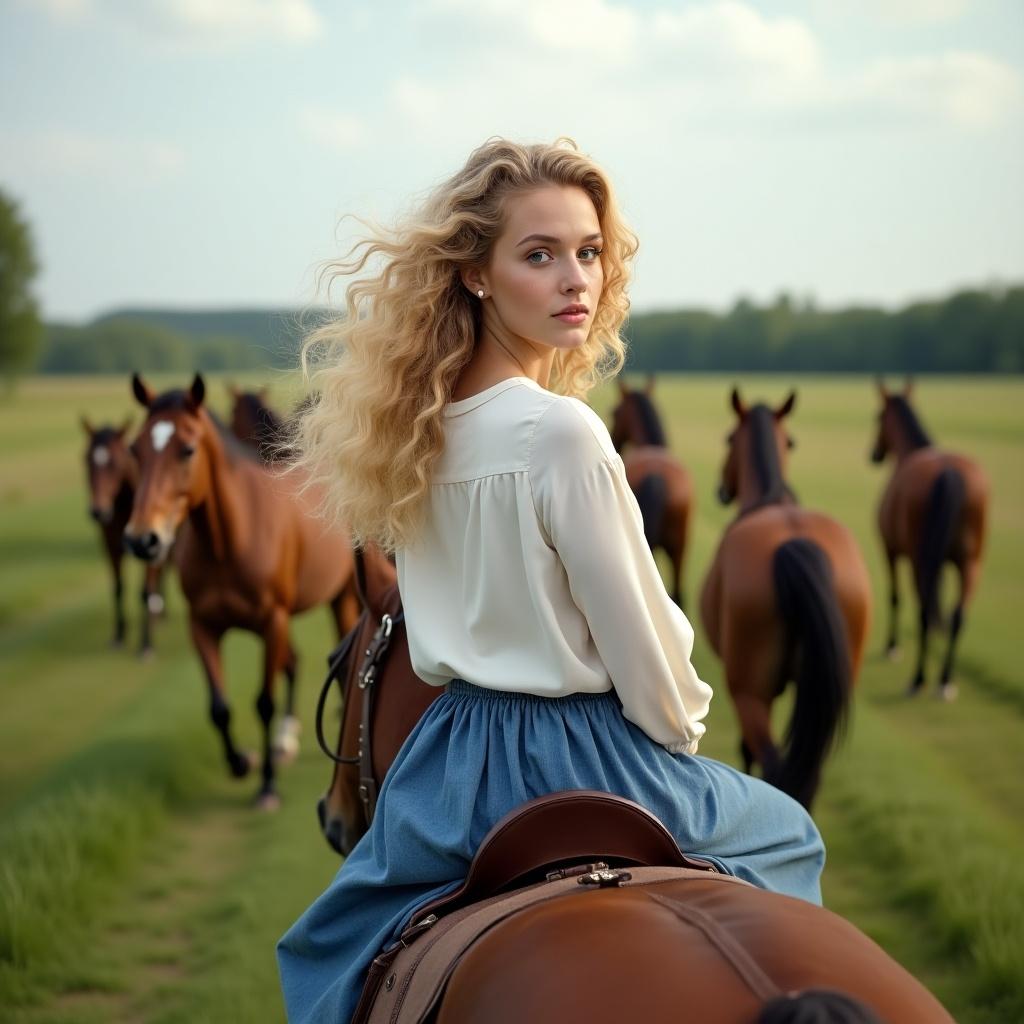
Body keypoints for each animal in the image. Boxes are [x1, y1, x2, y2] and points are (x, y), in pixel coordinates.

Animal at [79, 415, 163, 655]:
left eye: (115, 463)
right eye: (86, 460)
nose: (98, 511)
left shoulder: (151, 548)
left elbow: (145, 592)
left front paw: (146, 643)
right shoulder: (110, 546)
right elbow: (118, 587)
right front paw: (119, 634)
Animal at [124, 374, 360, 806]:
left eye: (187, 449)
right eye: (135, 448)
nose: (143, 540)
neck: (230, 539)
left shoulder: (272, 623)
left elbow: (263, 703)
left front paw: (267, 786)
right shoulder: (203, 626)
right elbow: (219, 707)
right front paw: (241, 762)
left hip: (344, 596)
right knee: (293, 663)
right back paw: (285, 739)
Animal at [868, 380, 987, 700]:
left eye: (877, 417)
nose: (874, 454)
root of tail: (948, 472)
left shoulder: (889, 549)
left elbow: (895, 596)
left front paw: (892, 646)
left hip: (919, 558)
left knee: (922, 610)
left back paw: (918, 678)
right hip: (970, 561)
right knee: (957, 615)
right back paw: (944, 680)